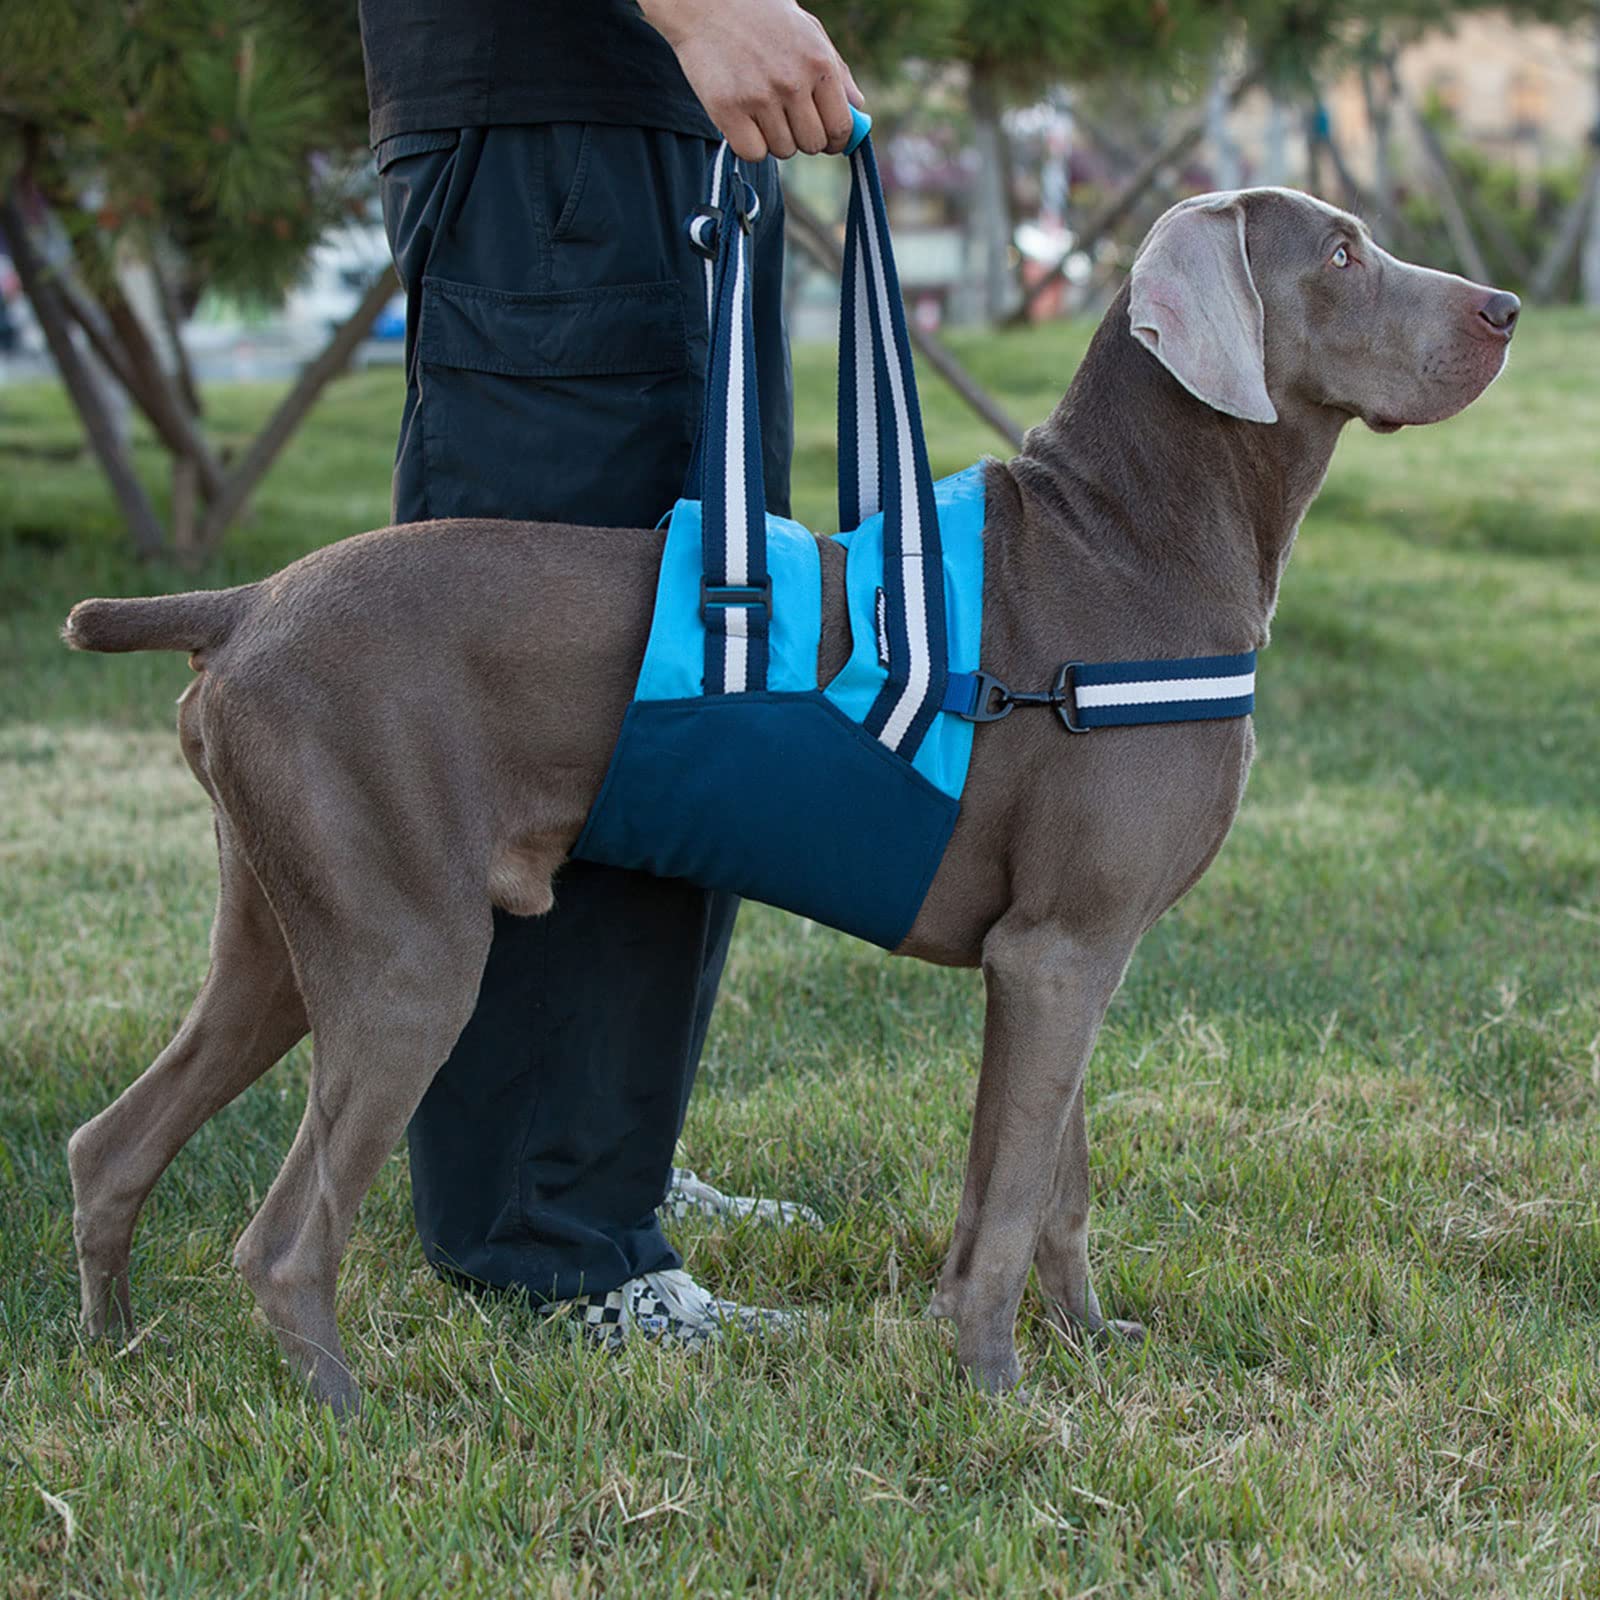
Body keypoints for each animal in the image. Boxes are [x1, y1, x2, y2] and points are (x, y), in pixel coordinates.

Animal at [59, 190, 1510, 1414]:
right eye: (1340, 253)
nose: (1503, 309)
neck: (1127, 536)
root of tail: (245, 600)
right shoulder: (1054, 955)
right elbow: (1008, 1199)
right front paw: (999, 1394)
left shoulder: (1074, 949)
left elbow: (1055, 1182)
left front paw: (1090, 1344)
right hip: (407, 952)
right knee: (281, 1238)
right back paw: (346, 1418)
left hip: (286, 928)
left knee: (110, 1145)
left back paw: (113, 1354)